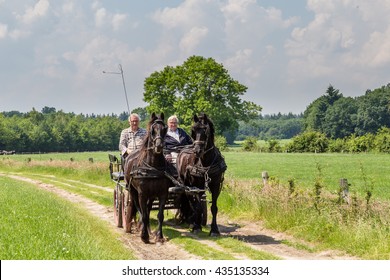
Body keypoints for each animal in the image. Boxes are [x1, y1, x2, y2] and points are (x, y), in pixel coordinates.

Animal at [123, 112, 172, 244]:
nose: (159, 146)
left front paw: (159, 236)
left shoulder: (162, 193)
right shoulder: (142, 194)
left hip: (152, 194)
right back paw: (140, 227)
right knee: (139, 208)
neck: (153, 166)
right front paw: (144, 236)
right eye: (152, 130)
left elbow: (160, 215)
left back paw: (148, 229)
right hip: (132, 191)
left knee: (148, 208)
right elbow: (144, 214)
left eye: (165, 129)